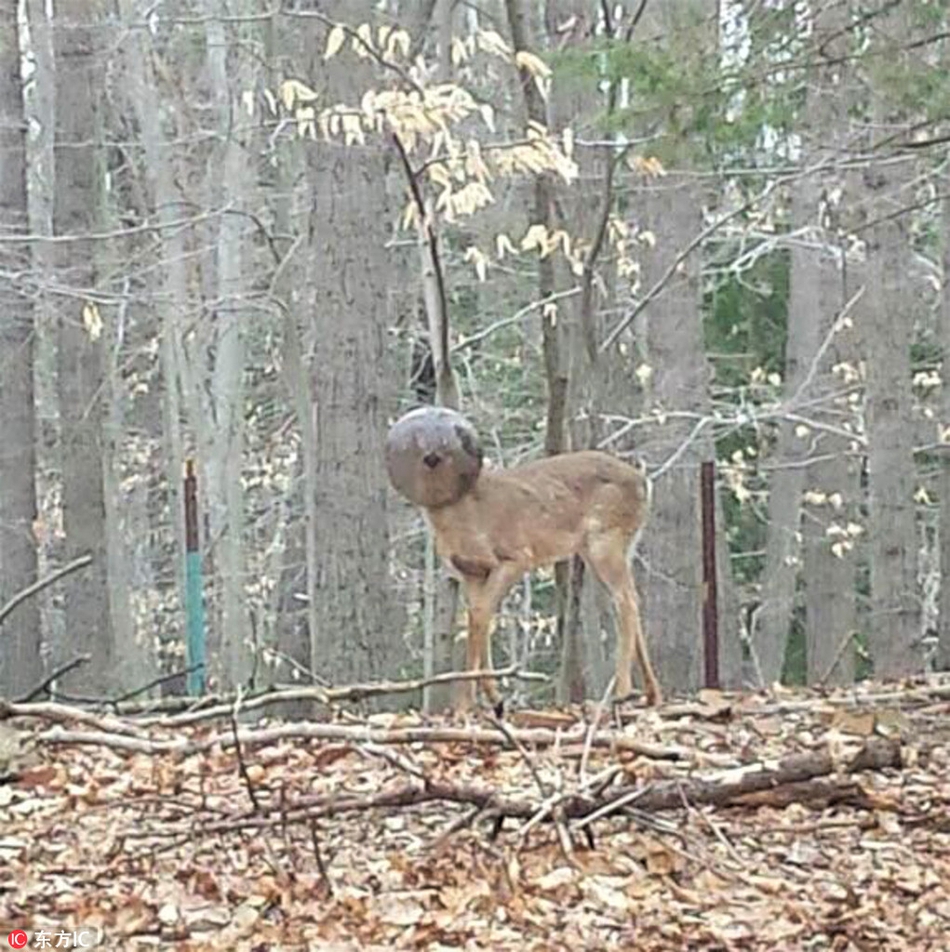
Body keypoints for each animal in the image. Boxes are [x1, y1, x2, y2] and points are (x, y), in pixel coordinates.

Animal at [384, 406, 660, 712]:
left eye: (449, 442)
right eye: (418, 442)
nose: (432, 456)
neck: (465, 516)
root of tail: (644, 482)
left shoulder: (515, 557)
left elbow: (481, 615)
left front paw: (470, 702)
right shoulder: (472, 572)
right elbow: (479, 616)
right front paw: (490, 699)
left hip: (605, 540)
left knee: (627, 601)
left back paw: (622, 692)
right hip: (615, 545)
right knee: (629, 599)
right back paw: (652, 694)